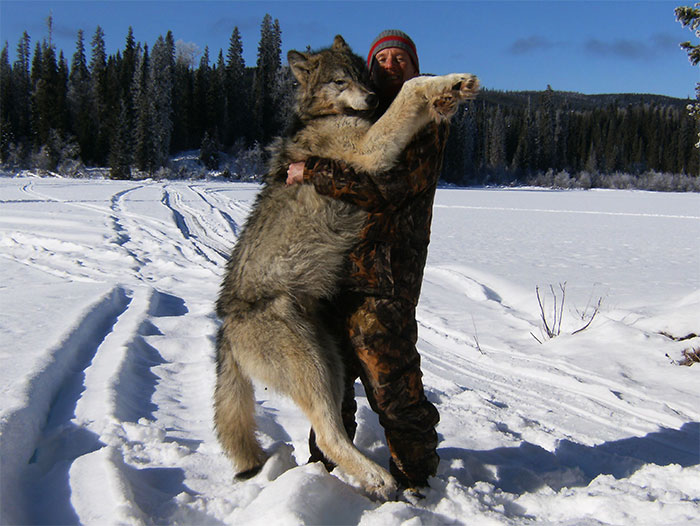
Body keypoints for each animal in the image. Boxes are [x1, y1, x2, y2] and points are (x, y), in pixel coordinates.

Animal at [214, 35, 478, 499]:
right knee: (328, 434)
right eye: (340, 81)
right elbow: (409, 91)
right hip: (314, 369)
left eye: (363, 74)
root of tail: (226, 326)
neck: (327, 114)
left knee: (330, 432)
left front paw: (453, 90)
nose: (373, 97)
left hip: (332, 363)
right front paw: (447, 82)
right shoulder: (368, 153)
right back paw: (379, 479)